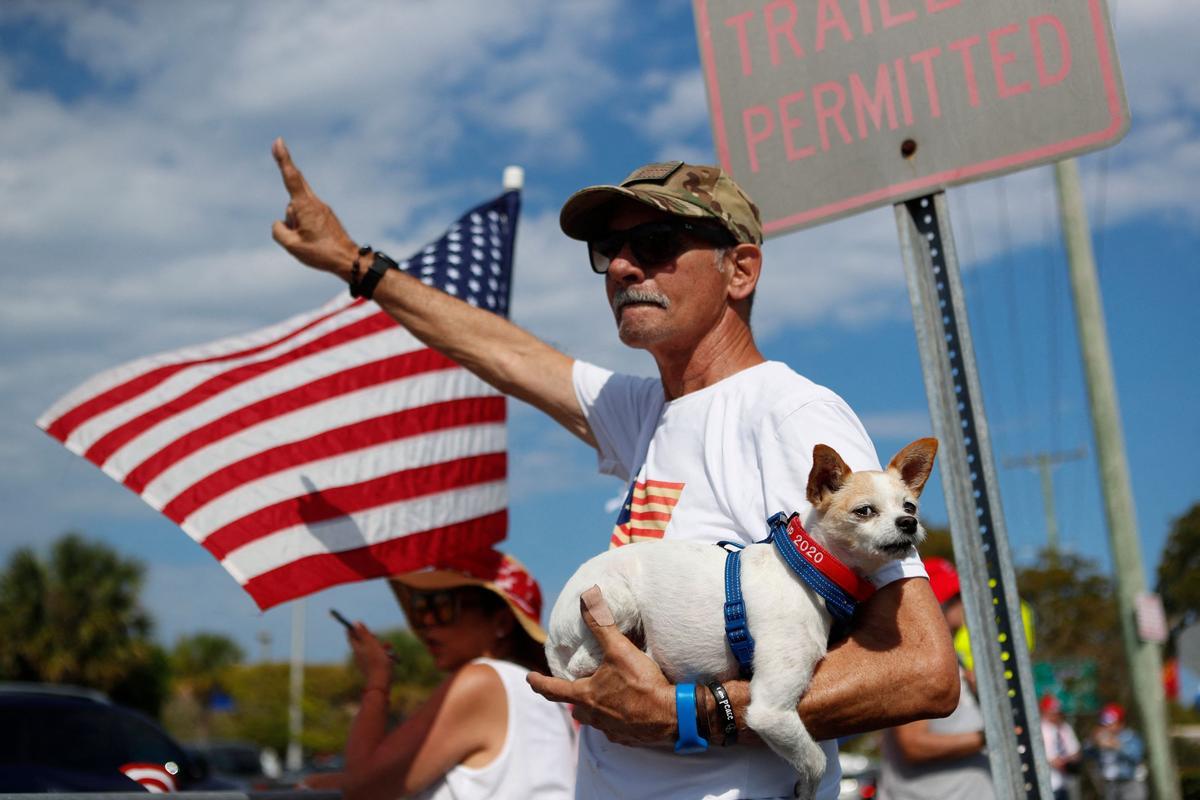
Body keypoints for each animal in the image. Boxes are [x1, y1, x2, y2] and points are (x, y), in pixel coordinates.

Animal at [549, 441, 940, 796]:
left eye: (909, 506)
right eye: (864, 511)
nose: (909, 523)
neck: (810, 568)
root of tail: (552, 632)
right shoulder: (771, 710)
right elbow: (814, 760)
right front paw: (806, 787)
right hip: (616, 602)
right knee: (584, 662)